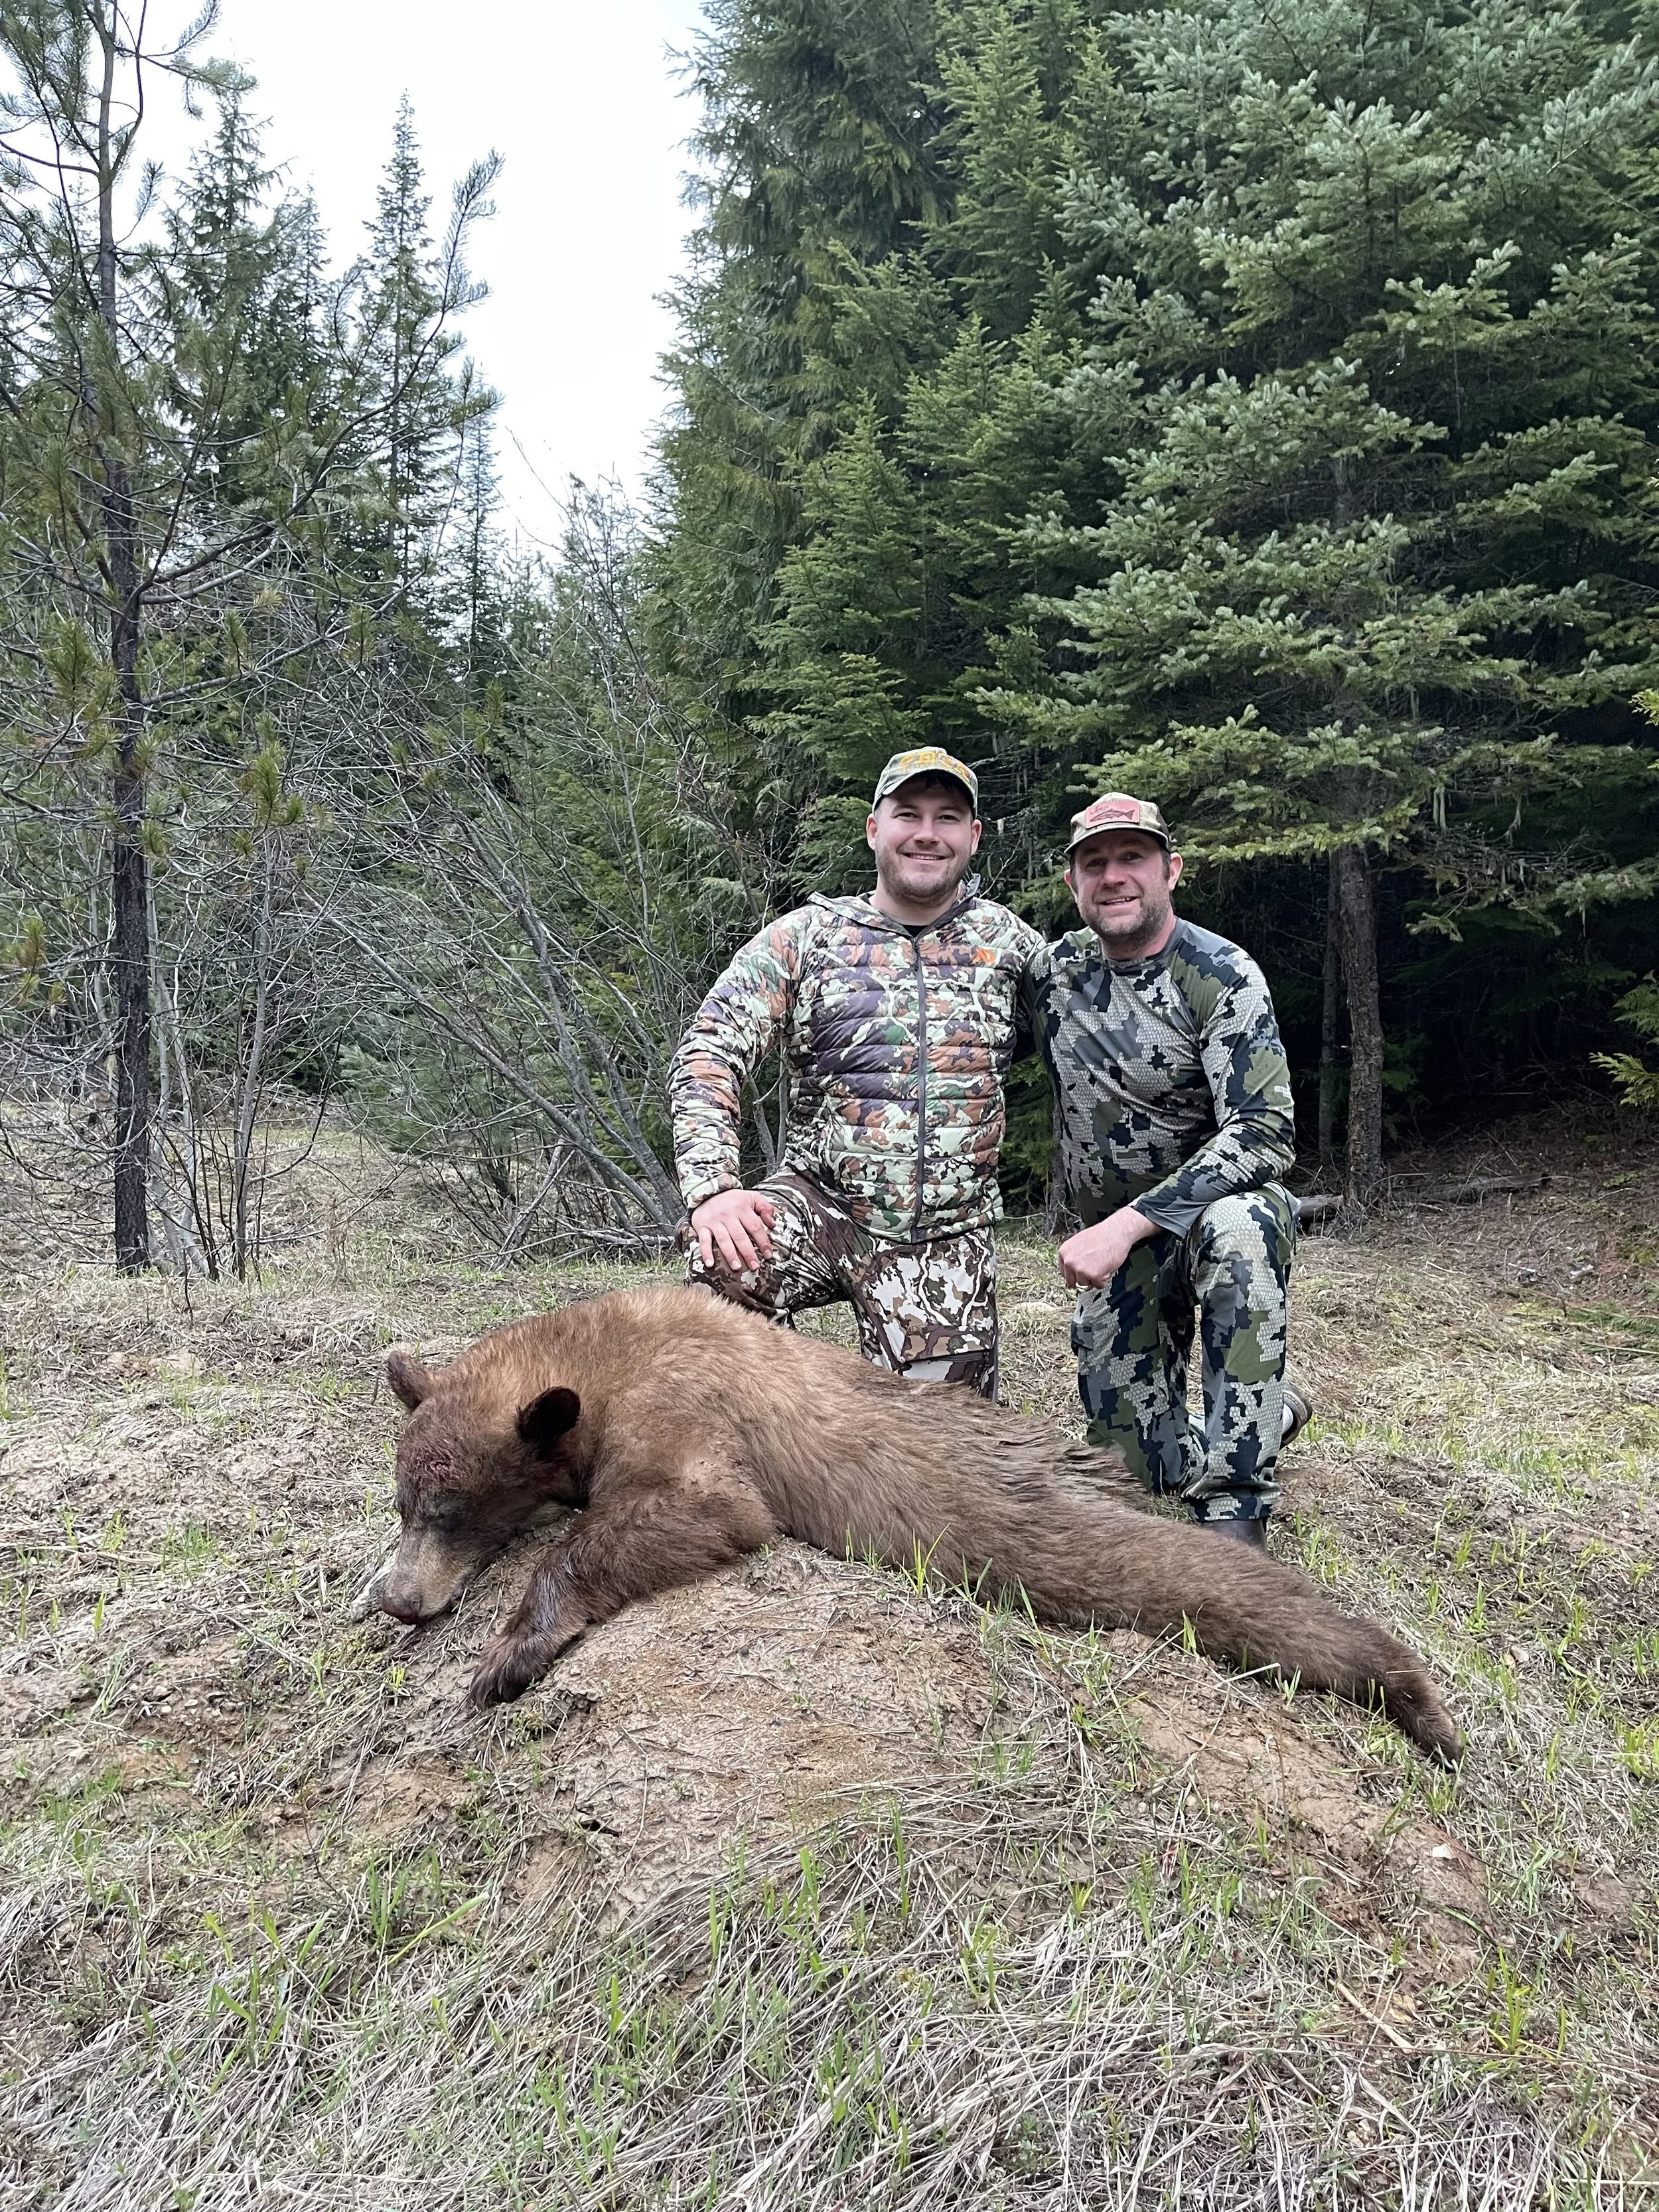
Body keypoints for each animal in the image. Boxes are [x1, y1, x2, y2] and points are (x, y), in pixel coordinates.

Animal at [373, 1282, 1461, 1762]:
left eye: (451, 1510)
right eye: (403, 1502)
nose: (396, 1598)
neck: (600, 1359)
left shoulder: (683, 1415)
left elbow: (705, 1512)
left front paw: (509, 1652)